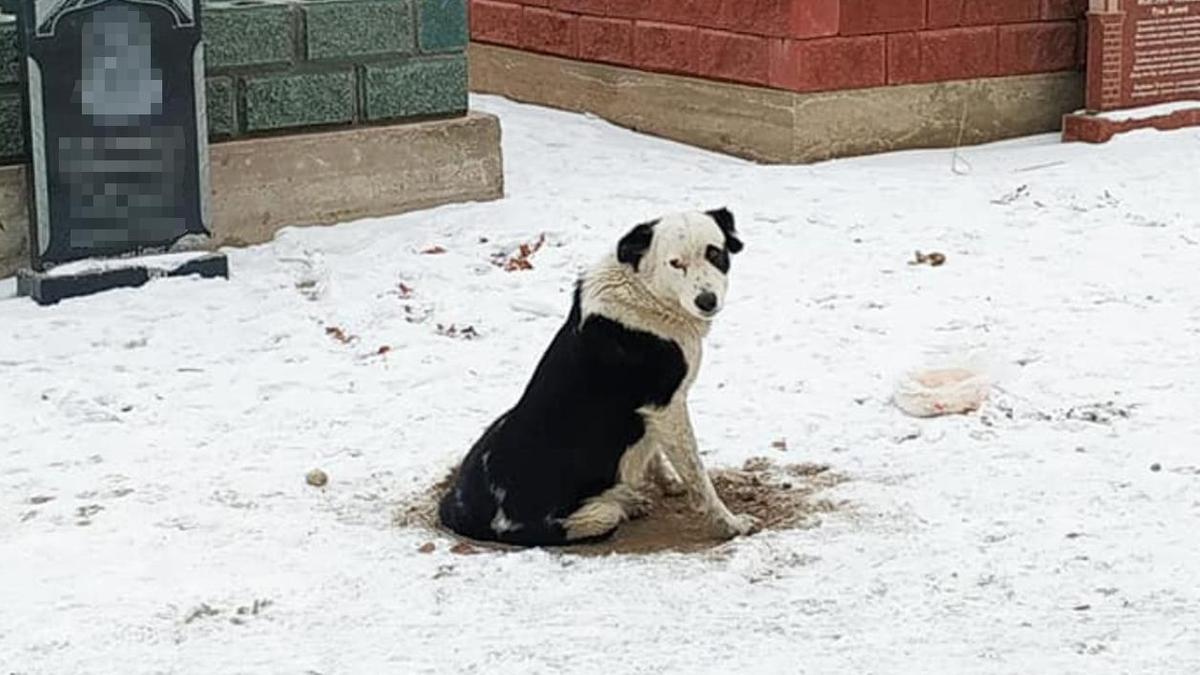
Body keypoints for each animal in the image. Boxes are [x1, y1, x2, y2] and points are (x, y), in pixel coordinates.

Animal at [439, 207, 758, 542]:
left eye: (714, 254)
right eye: (675, 263)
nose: (707, 301)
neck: (645, 293)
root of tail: (459, 513)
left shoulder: (652, 414)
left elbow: (656, 452)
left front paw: (669, 483)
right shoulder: (667, 406)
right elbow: (697, 475)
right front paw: (730, 524)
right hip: (593, 518)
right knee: (605, 513)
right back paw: (625, 500)